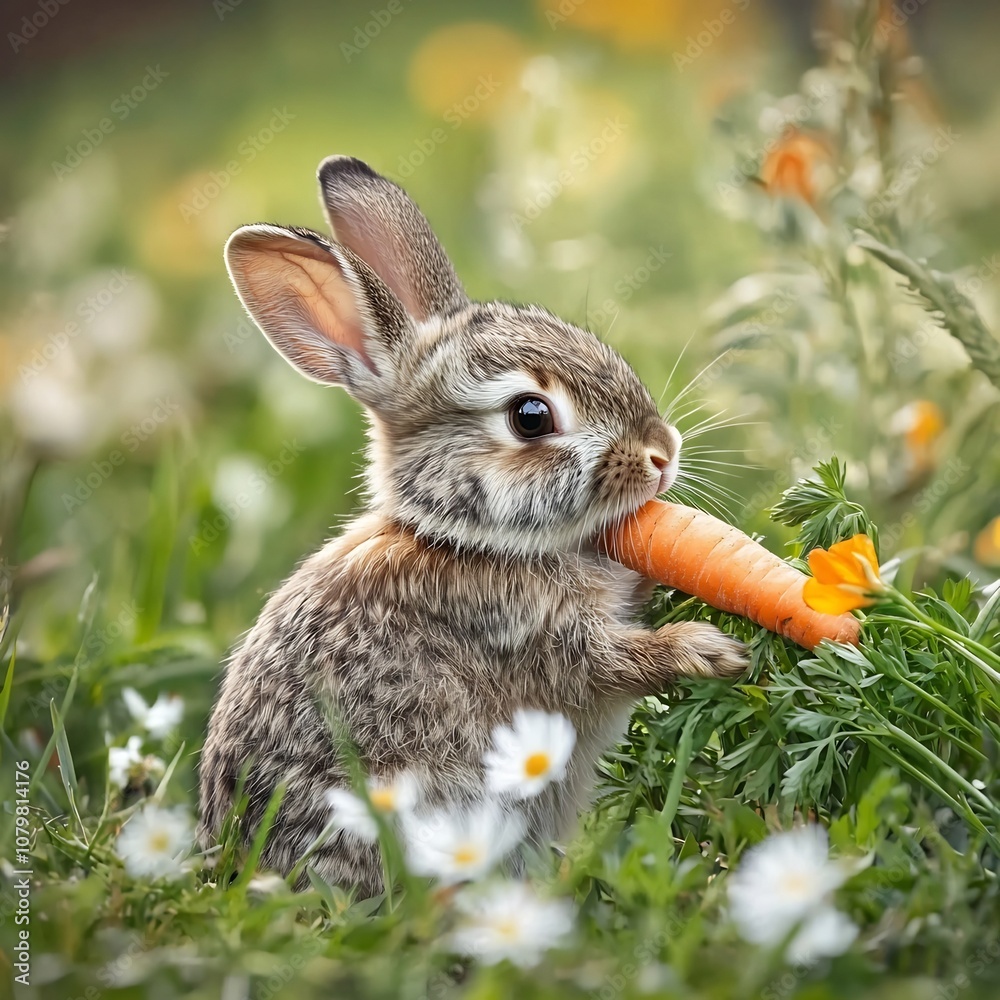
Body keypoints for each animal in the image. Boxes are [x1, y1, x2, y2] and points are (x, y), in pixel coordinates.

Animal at [197, 155, 747, 895]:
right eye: (531, 417)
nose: (663, 453)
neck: (470, 539)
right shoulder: (527, 638)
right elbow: (610, 661)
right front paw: (708, 651)